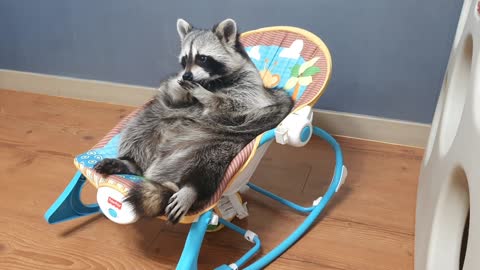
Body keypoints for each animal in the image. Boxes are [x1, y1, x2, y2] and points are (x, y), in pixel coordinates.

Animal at [92, 17, 290, 224]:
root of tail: (157, 165)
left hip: (220, 144)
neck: (212, 81)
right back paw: (131, 163)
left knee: (209, 164)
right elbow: (172, 96)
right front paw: (182, 87)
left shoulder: (251, 90)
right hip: (153, 120)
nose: (187, 75)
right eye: (185, 59)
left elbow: (235, 106)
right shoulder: (173, 97)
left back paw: (192, 188)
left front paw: (207, 96)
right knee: (139, 128)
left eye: (202, 58)